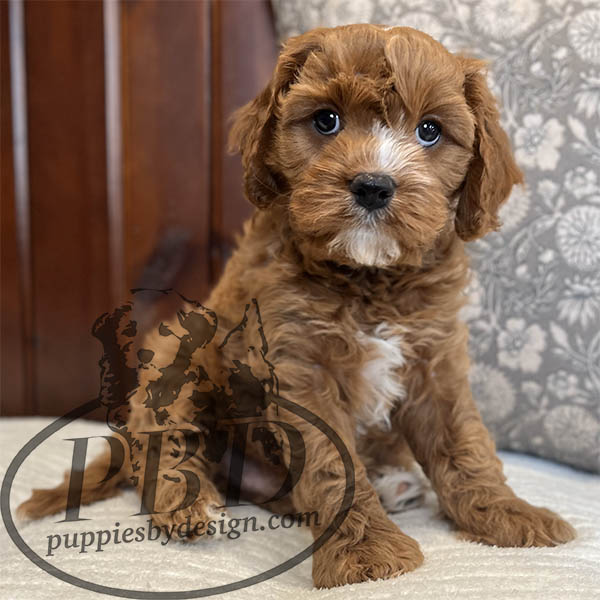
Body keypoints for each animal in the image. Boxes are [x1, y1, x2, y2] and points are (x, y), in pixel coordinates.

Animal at [18, 24, 575, 588]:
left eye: (430, 131)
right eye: (326, 119)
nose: (373, 185)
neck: (367, 277)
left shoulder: (434, 361)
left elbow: (464, 445)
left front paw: (507, 514)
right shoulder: (298, 368)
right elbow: (333, 462)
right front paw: (364, 553)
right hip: (176, 357)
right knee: (161, 445)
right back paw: (186, 504)